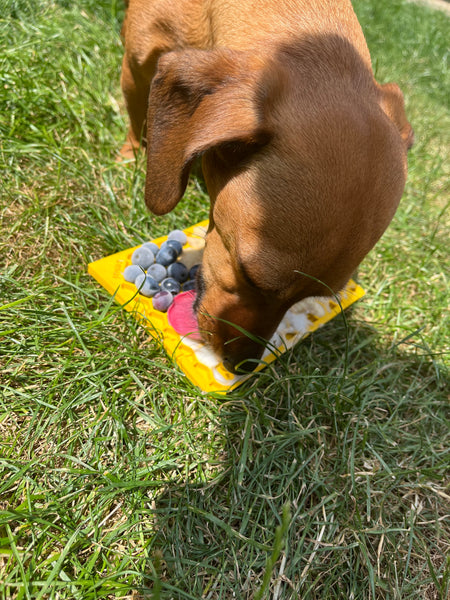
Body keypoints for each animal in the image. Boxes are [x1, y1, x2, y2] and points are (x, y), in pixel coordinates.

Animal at [118, 1, 412, 370]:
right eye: (248, 274)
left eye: (313, 296)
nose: (242, 365)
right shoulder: (137, 65)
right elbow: (136, 119)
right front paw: (129, 157)